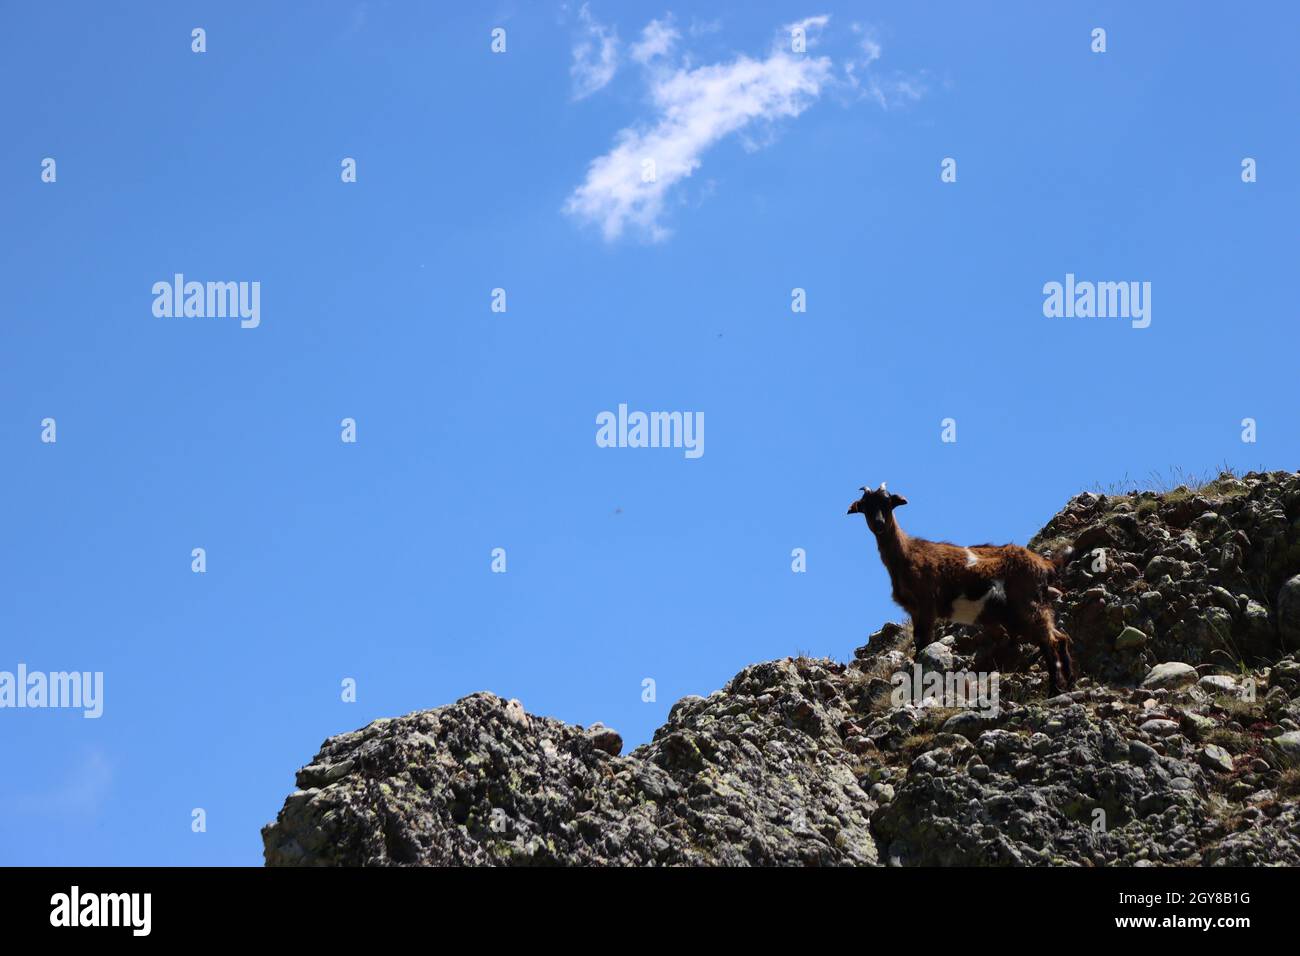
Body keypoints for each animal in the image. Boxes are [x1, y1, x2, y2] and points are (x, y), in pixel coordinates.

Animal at [847, 483, 1074, 695]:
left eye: (888, 503)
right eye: (865, 506)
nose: (879, 524)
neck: (907, 554)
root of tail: (1045, 564)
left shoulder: (927, 605)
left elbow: (922, 644)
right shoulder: (914, 610)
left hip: (1026, 606)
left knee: (1050, 641)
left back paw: (1055, 689)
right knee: (1060, 638)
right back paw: (1068, 684)